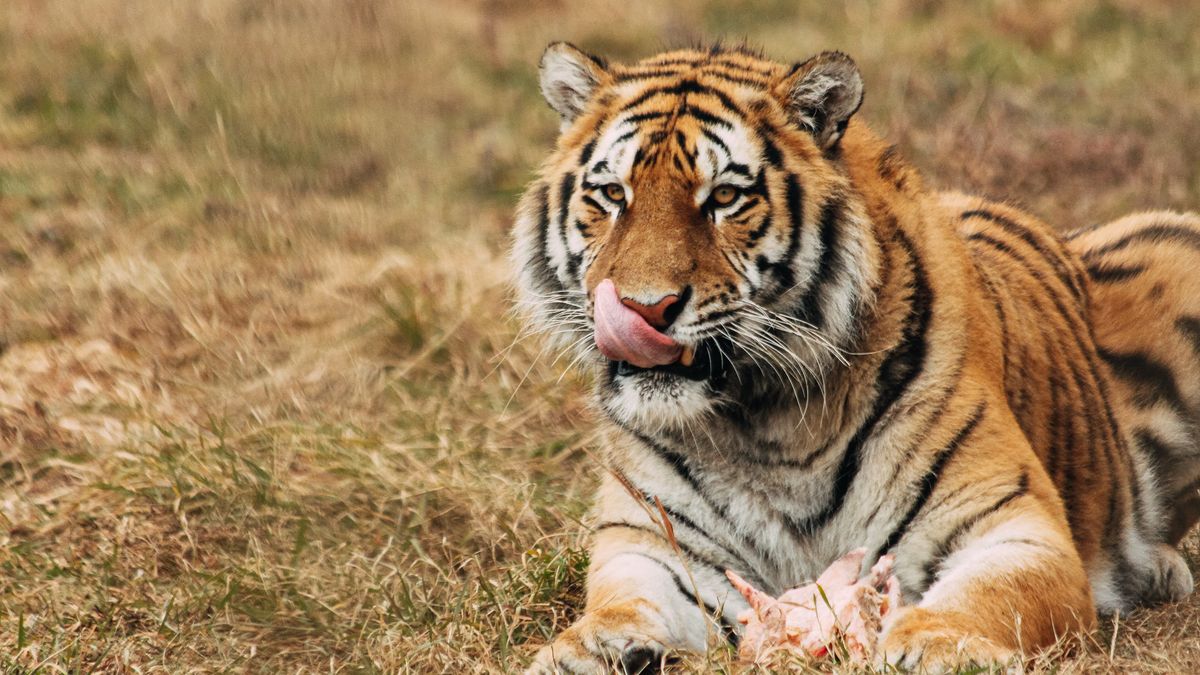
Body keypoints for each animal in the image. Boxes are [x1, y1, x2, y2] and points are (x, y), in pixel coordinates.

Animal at [512, 42, 1200, 672]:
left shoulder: (1011, 524)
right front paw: (584, 649)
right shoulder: (649, 543)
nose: (644, 308)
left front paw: (935, 643)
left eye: (726, 197)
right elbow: (625, 604)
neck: (763, 423)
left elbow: (986, 597)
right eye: (611, 193)